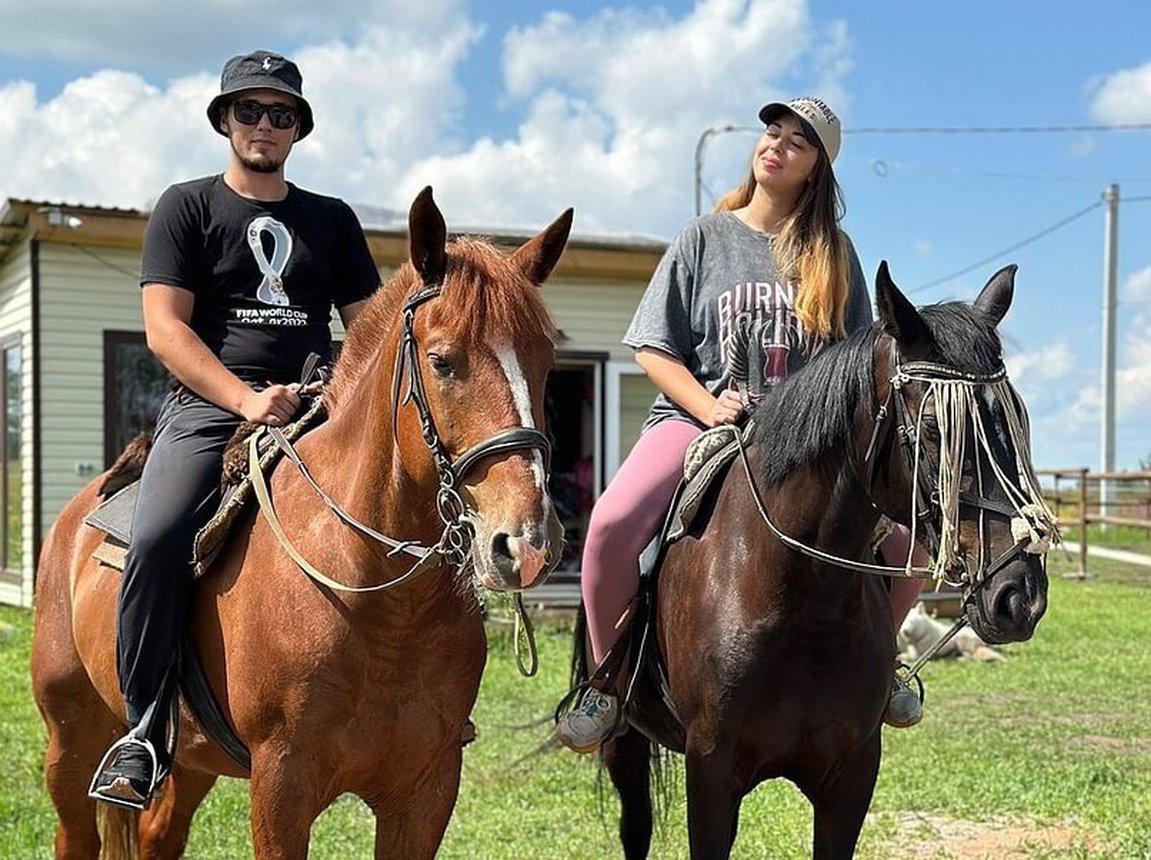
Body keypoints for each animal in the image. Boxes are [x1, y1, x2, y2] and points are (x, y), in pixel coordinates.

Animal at [33, 188, 573, 860]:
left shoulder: (425, 790)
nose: (525, 544)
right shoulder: (281, 786)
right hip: (71, 740)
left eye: (547, 364)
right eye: (443, 362)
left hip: (190, 761)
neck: (377, 603)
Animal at [575, 262, 1054, 860]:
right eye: (934, 429)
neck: (800, 600)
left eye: (1018, 423)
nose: (1020, 597)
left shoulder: (850, 779)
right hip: (624, 740)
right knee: (634, 822)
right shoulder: (710, 777)